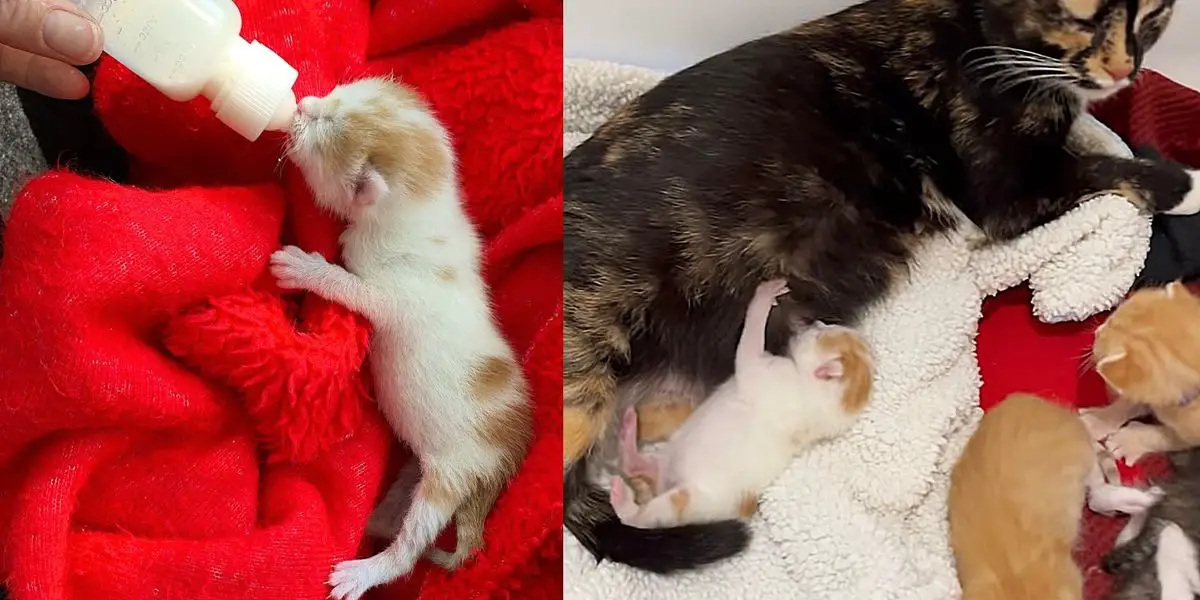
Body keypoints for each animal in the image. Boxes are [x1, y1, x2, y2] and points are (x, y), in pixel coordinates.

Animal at [276, 78, 535, 600]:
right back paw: (374, 520)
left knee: (412, 546)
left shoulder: (393, 290)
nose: (303, 104)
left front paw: (305, 267)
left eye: (321, 127)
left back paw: (364, 570)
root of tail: (507, 461)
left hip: (454, 473)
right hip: (421, 466)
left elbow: (353, 288)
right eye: (333, 97)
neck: (425, 203)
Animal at [609, 278, 873, 528]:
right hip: (666, 457)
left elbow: (751, 335)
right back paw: (629, 433)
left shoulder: (758, 367)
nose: (812, 323)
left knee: (639, 518)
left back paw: (622, 498)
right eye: (824, 327)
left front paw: (766, 294)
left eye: (819, 333)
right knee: (639, 467)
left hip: (680, 505)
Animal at [1084, 280, 1200, 463]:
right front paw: (1097, 419)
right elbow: (1130, 400)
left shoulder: (1192, 431)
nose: (1097, 331)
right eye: (1110, 319)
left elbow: (1167, 437)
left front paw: (1126, 441)